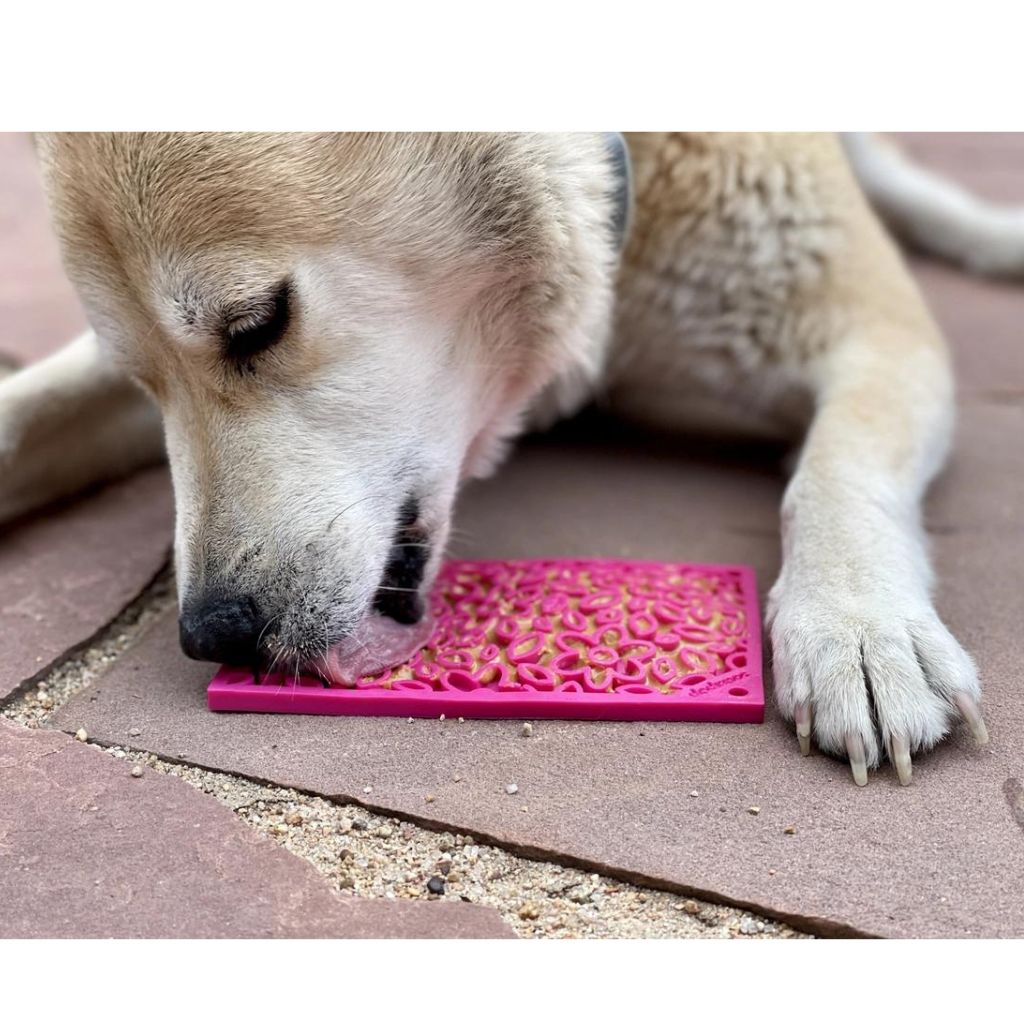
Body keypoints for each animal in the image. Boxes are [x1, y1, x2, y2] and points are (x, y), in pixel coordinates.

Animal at [2, 130, 1007, 782]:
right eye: (144, 383)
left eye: (258, 323)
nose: (215, 635)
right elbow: (24, 422)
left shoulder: (866, 320)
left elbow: (838, 469)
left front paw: (860, 628)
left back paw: (990, 235)